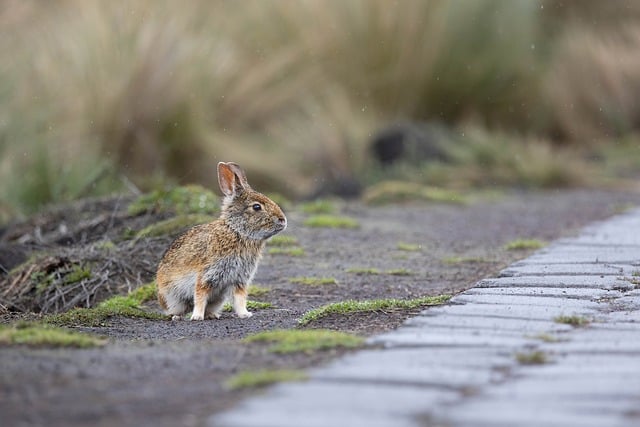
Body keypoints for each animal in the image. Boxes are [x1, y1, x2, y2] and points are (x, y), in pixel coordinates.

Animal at [156, 162, 287, 321]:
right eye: (256, 207)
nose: (282, 220)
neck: (236, 231)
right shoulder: (206, 275)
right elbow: (200, 296)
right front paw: (197, 317)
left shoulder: (239, 280)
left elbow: (239, 299)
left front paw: (245, 314)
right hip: (172, 297)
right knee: (176, 309)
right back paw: (178, 316)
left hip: (218, 299)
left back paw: (212, 315)